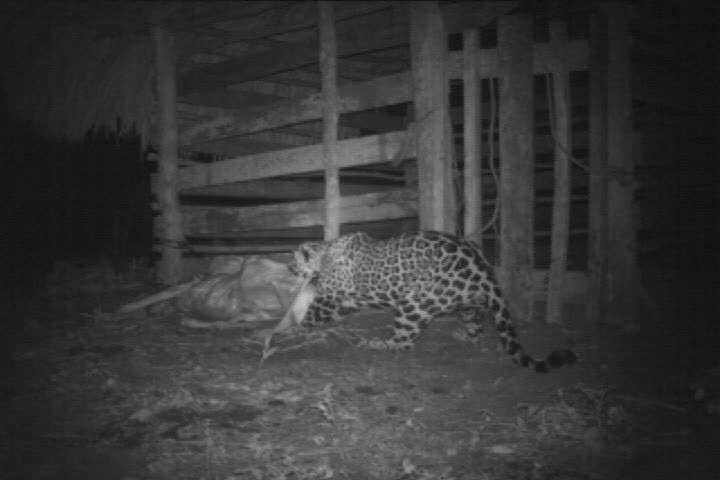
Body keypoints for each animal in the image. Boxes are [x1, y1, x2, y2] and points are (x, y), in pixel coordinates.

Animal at [292, 231, 577, 372]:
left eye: (292, 263)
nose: (289, 270)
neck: (324, 254)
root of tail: (482, 266)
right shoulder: (346, 300)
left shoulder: (330, 295)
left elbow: (314, 312)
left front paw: (295, 327)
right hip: (465, 303)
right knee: (476, 322)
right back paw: (466, 337)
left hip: (413, 303)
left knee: (404, 342)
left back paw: (376, 343)